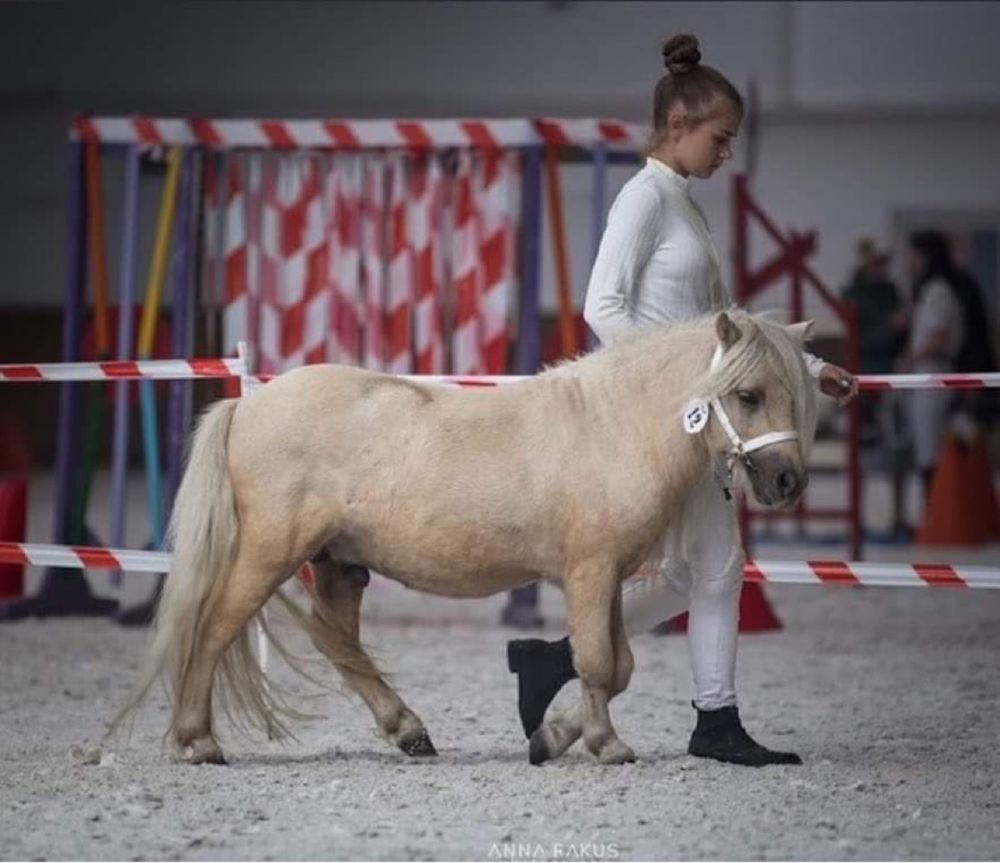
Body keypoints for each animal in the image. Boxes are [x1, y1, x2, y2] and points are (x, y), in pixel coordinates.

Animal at [113, 308, 816, 764]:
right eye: (748, 395)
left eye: (799, 395)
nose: (787, 481)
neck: (610, 426)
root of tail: (248, 404)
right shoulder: (589, 573)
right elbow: (598, 663)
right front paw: (607, 745)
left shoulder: (609, 577)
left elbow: (618, 667)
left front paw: (553, 737)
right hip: (268, 554)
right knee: (213, 629)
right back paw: (197, 740)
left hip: (337, 564)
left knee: (338, 644)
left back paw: (408, 730)